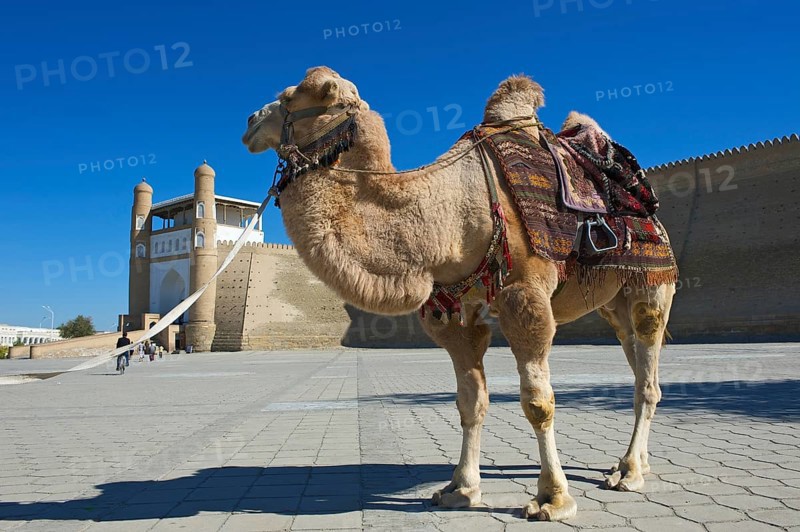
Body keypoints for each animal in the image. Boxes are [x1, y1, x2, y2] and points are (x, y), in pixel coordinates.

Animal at [241, 67, 675, 521]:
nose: (250, 121)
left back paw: (629, 473)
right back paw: (631, 463)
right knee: (640, 365)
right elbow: (470, 402)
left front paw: (552, 499)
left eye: (291, 97)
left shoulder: (524, 295)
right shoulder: (455, 313)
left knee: (646, 370)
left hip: (651, 287)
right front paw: (460, 489)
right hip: (614, 304)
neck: (450, 216)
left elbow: (538, 403)